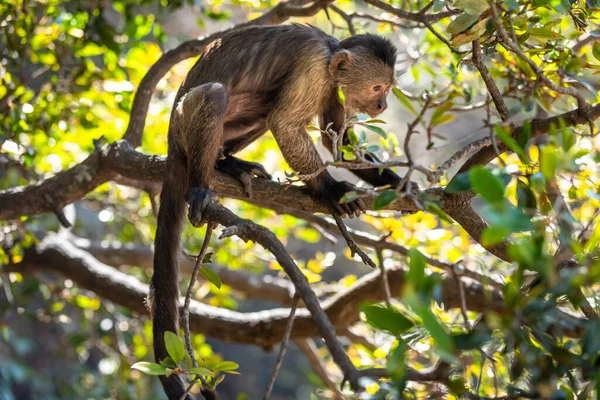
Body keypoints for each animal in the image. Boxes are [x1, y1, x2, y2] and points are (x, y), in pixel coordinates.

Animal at [149, 25, 412, 400]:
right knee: (218, 96)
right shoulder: (314, 70)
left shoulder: (331, 85)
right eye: (378, 88)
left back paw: (226, 164)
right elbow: (286, 125)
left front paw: (401, 185)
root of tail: (171, 134)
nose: (382, 105)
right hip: (184, 127)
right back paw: (202, 183)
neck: (331, 55)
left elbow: (340, 142)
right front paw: (332, 191)